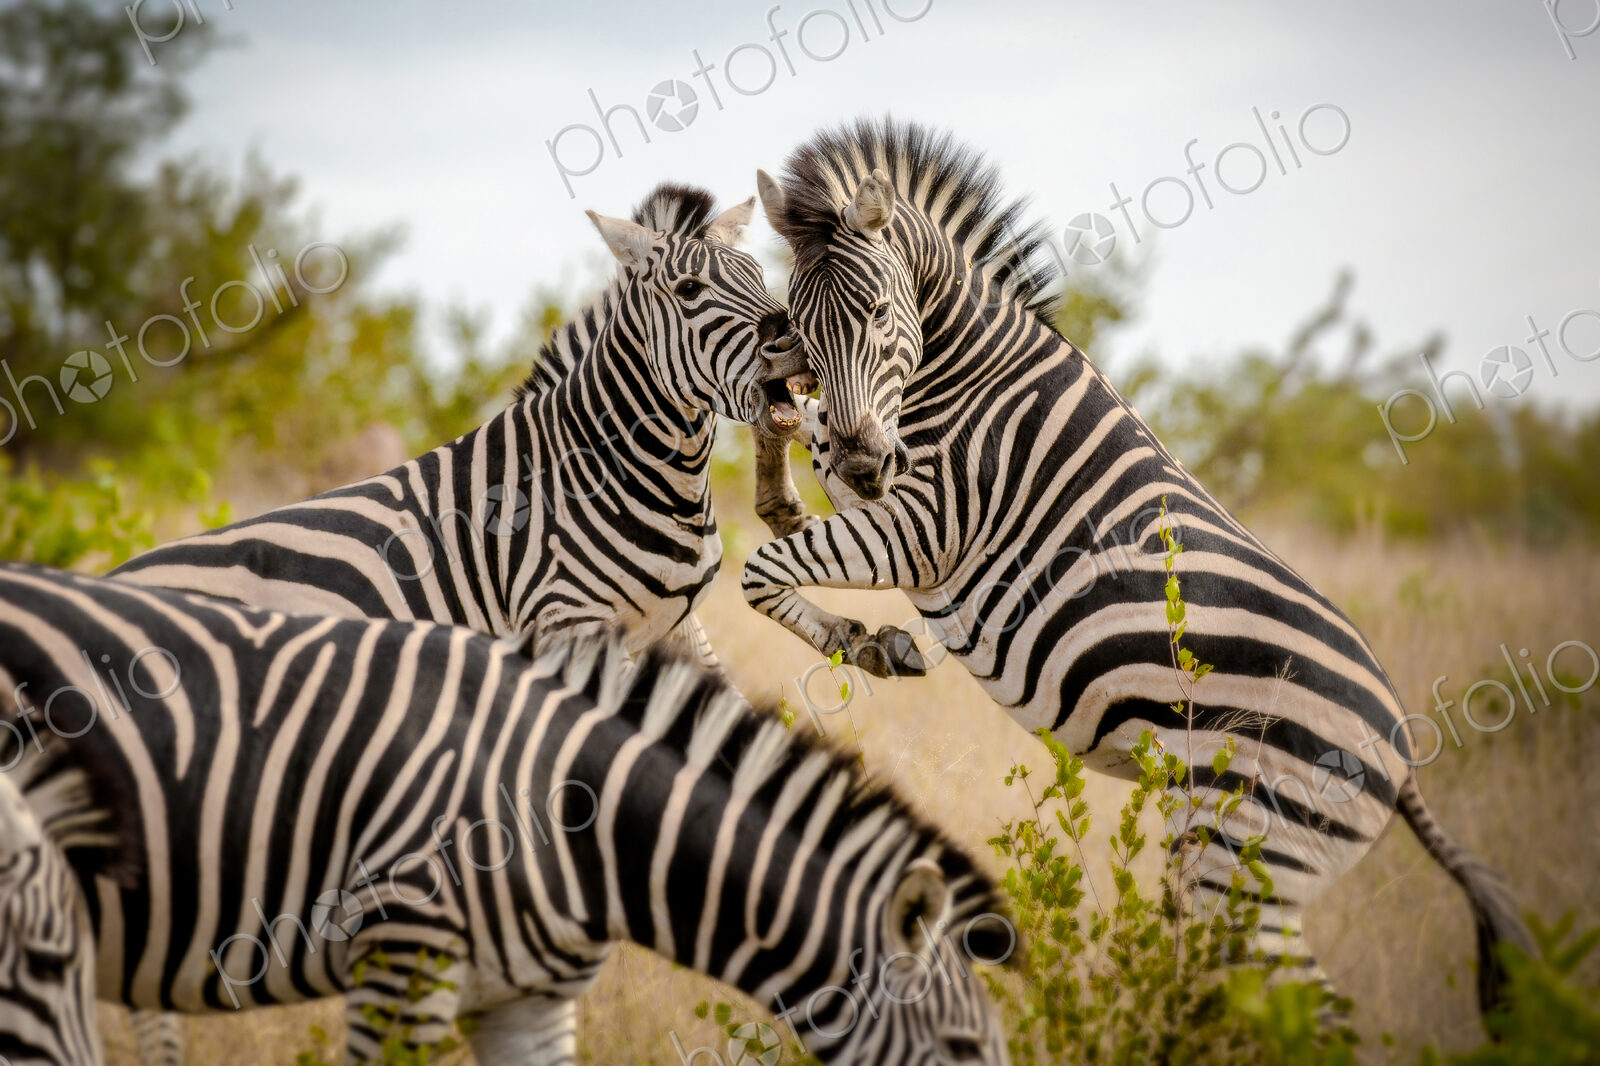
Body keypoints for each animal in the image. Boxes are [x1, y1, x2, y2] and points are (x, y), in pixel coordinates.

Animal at [742, 118, 1533, 1018]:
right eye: (802, 320)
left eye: (877, 313)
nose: (867, 462)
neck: (960, 370)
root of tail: (1404, 750)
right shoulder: (881, 482)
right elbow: (798, 436)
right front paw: (778, 458)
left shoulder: (926, 525)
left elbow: (763, 568)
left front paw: (865, 640)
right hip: (1230, 861)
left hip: (1250, 861)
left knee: (1314, 1015)